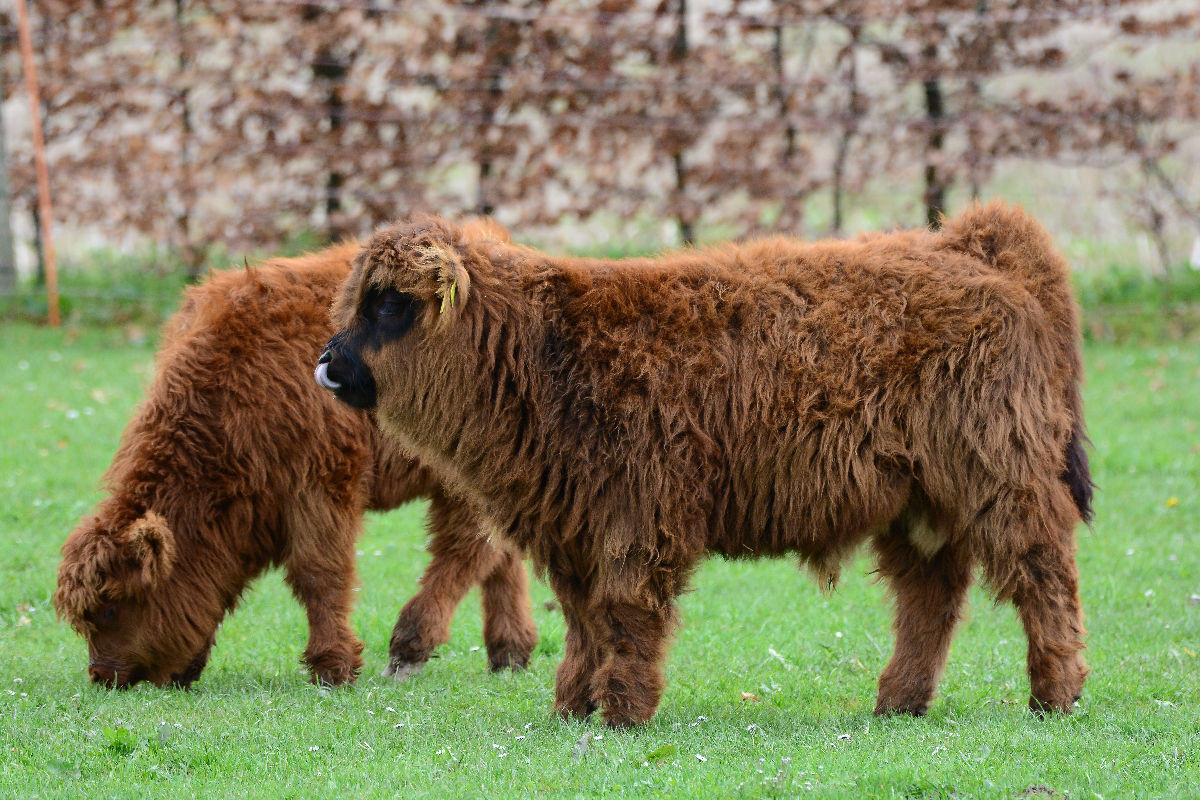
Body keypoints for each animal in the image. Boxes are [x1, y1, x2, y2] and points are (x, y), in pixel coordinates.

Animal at [55, 236, 535, 690]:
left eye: (112, 608)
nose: (102, 675)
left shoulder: (322, 487)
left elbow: (320, 576)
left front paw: (333, 667)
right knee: (497, 555)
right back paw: (510, 652)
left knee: (462, 551)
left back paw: (409, 649)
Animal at [321, 203, 1099, 729]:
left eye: (390, 304)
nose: (328, 362)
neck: (545, 353)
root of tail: (968, 245)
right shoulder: (573, 529)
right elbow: (583, 621)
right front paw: (573, 704)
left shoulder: (637, 519)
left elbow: (626, 616)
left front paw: (624, 711)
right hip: (918, 505)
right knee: (931, 600)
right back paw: (897, 702)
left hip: (999, 479)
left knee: (1043, 574)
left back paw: (1055, 693)